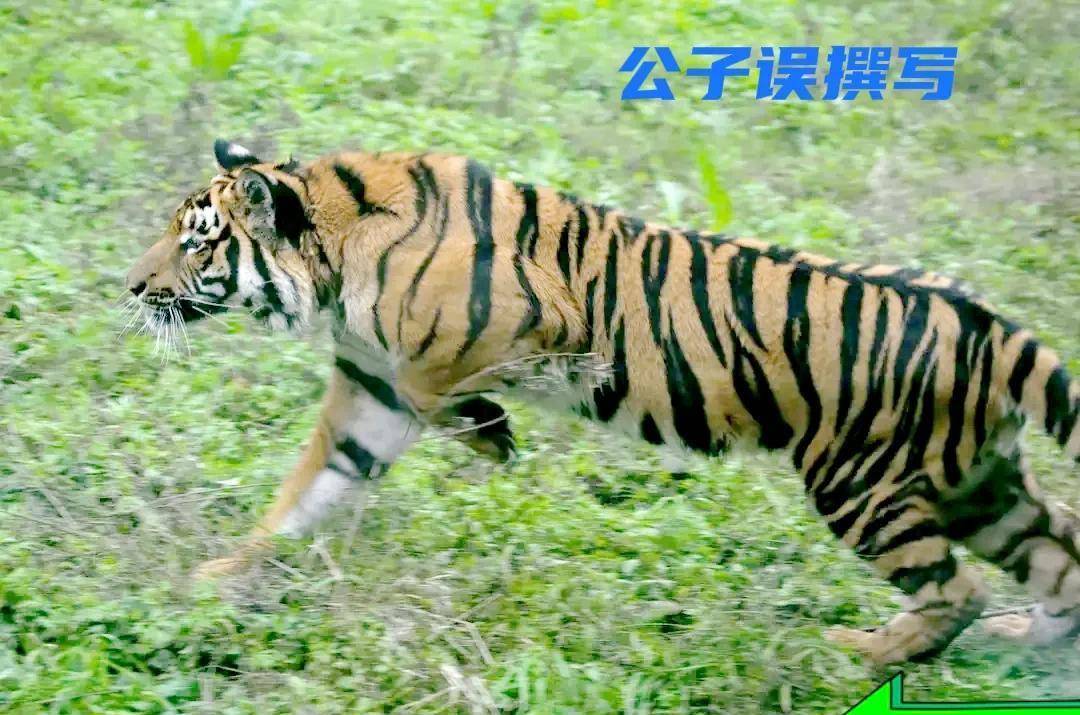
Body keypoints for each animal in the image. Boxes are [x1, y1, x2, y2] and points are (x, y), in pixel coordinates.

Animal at [123, 139, 1080, 665]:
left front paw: (494, 437)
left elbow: (450, 393)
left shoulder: (523, 327)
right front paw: (219, 578)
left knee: (956, 590)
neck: (330, 266)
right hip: (977, 484)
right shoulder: (369, 391)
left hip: (864, 484)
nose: (132, 285)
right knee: (1060, 554)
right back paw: (1024, 639)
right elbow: (304, 496)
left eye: (195, 241)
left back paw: (863, 652)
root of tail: (988, 322)